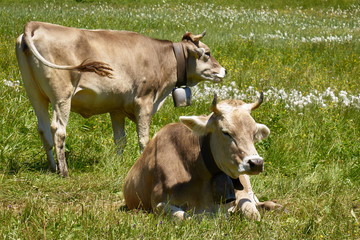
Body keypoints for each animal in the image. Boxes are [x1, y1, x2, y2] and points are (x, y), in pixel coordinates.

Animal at [16, 21, 228, 177]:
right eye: (207, 53)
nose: (223, 71)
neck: (160, 58)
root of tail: (36, 24)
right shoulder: (144, 100)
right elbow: (143, 138)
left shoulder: (116, 108)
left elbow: (120, 139)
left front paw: (119, 163)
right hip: (62, 96)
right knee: (58, 130)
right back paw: (64, 172)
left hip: (35, 94)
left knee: (43, 129)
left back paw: (53, 168)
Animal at [124, 93, 282, 220]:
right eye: (226, 132)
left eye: (254, 133)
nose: (256, 163)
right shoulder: (158, 203)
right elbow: (187, 219)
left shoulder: (242, 192)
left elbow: (252, 214)